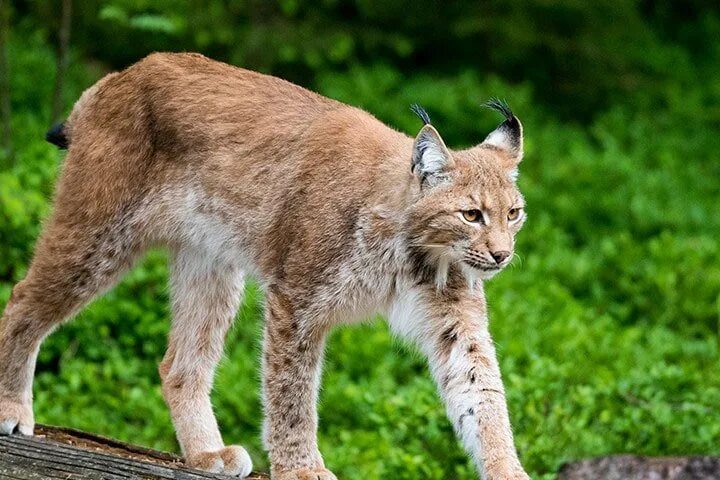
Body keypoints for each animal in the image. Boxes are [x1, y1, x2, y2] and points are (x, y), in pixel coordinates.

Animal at [0, 50, 528, 478]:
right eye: (471, 215)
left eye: (513, 214)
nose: (502, 255)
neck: (413, 251)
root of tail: (121, 74)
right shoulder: (297, 298)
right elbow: (291, 390)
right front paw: (301, 468)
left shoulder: (455, 320)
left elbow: (483, 393)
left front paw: (508, 470)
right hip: (102, 233)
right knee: (21, 297)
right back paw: (10, 407)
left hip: (211, 260)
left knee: (178, 363)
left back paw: (206, 455)